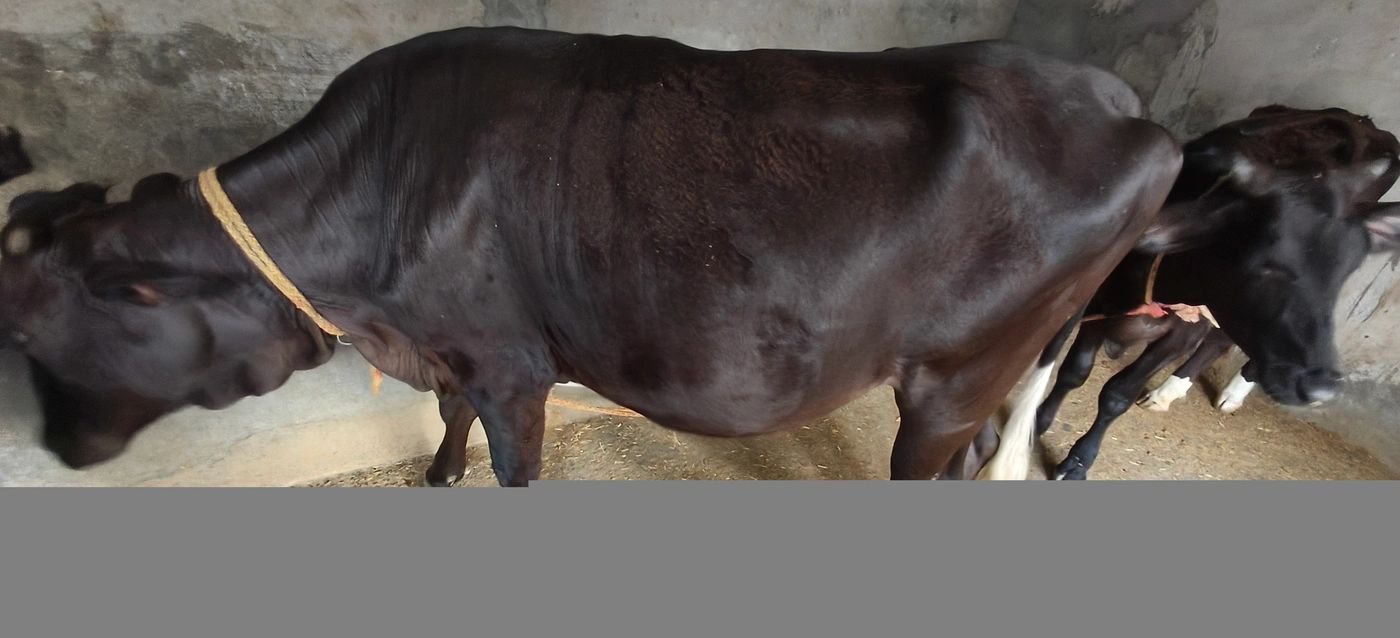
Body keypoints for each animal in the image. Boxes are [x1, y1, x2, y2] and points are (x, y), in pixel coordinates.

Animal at [0, 27, 1184, 486]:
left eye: (40, 338)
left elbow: (509, 457)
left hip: (952, 374)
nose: (57, 448)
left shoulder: (512, 364)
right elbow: (446, 419)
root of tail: (1127, 107)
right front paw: (435, 474)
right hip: (995, 365)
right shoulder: (457, 345)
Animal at [979, 105, 1400, 481]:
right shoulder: (1095, 304)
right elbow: (1072, 373)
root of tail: (1361, 120)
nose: (1321, 386)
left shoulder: (1181, 331)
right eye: (1264, 263)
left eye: (1346, 272)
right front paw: (1037, 424)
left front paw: (1079, 461)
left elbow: (1117, 394)